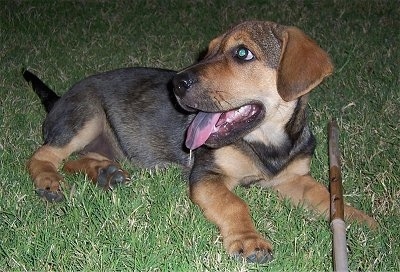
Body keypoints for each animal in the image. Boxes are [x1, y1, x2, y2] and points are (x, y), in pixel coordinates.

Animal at [23, 21, 376, 264]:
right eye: (208, 51)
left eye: (242, 53)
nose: (176, 83)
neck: (267, 144)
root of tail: (57, 100)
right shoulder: (207, 175)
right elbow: (235, 203)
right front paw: (249, 240)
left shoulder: (292, 179)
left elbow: (326, 196)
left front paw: (364, 222)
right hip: (86, 115)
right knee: (44, 155)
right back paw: (49, 181)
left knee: (74, 158)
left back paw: (104, 173)